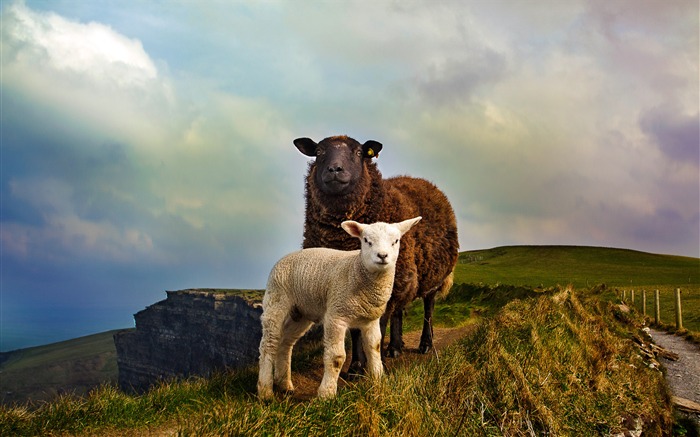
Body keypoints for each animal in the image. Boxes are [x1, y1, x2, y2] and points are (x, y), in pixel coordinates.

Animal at [258, 215, 422, 398]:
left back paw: (284, 384)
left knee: (285, 343)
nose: (382, 255)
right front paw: (327, 393)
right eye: (366, 240)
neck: (356, 269)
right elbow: (336, 357)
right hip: (276, 300)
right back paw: (265, 391)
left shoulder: (370, 320)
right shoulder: (336, 315)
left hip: (301, 312)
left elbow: (374, 348)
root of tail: (285, 257)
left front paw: (378, 382)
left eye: (396, 241)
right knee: (269, 344)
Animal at [292, 134, 460, 372]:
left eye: (358, 152)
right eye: (319, 152)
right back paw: (395, 347)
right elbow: (356, 331)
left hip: (431, 276)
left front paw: (372, 368)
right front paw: (355, 367)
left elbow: (376, 329)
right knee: (399, 311)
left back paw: (425, 344)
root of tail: (423, 181)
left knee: (428, 309)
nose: (335, 169)